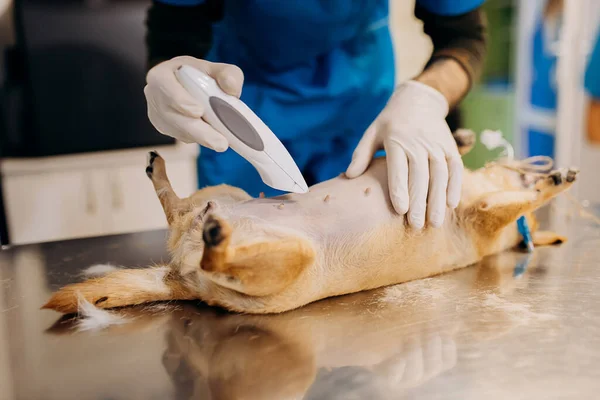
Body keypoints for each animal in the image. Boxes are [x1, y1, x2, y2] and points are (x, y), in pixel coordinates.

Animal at [41, 131, 576, 316]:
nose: (540, 165)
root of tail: (182, 280)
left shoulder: (484, 218)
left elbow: (522, 202)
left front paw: (555, 183)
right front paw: (461, 137)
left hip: (288, 255)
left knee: (215, 249)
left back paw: (216, 234)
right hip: (228, 193)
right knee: (177, 206)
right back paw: (163, 173)